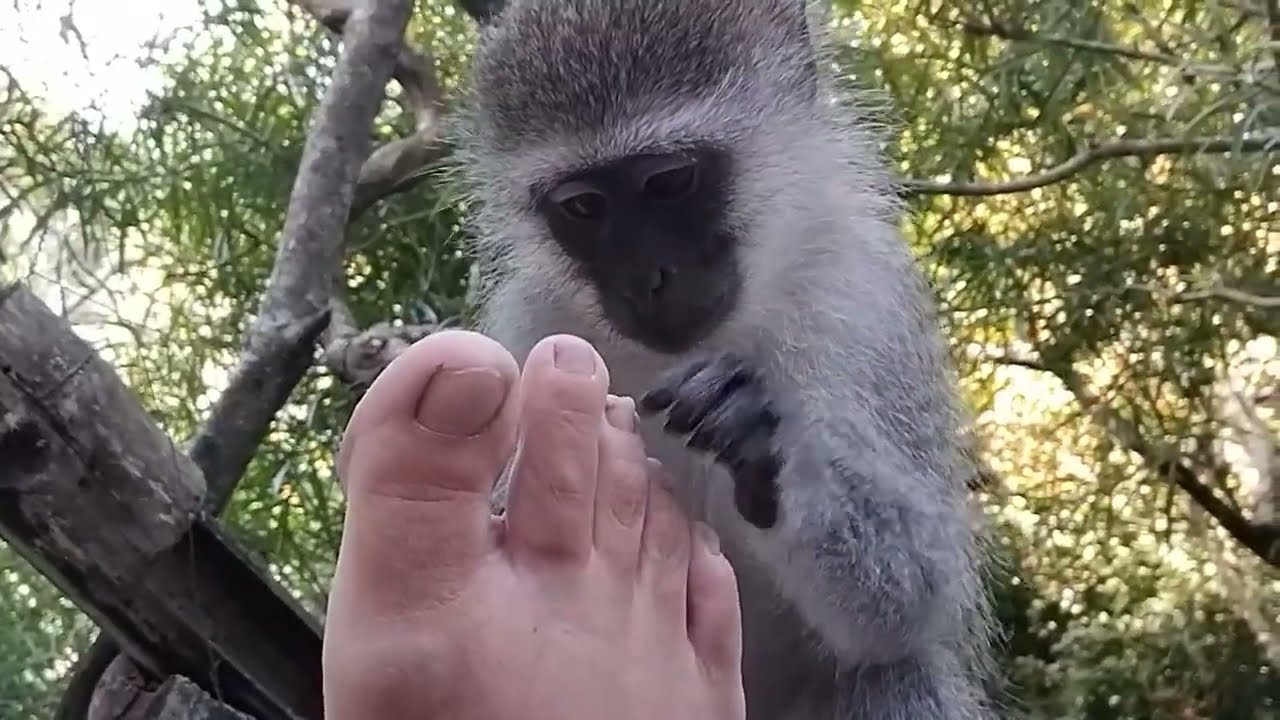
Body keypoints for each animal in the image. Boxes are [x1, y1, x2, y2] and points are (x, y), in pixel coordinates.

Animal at [450, 1, 996, 718]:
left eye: (670, 182)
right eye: (583, 207)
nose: (646, 280)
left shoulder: (867, 295)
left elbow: (915, 595)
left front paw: (766, 437)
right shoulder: (532, 321)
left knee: (895, 673)